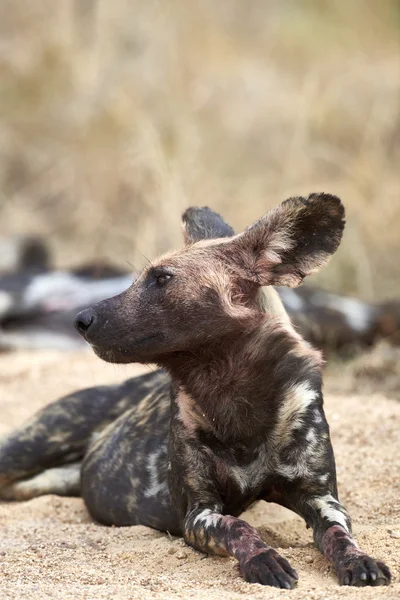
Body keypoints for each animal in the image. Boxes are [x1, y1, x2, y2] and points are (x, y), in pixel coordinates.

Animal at [0, 195, 390, 588]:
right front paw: (264, 560)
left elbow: (340, 535)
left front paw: (359, 561)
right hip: (27, 450)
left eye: (161, 278)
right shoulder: (199, 512)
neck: (236, 396)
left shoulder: (321, 499)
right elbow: (239, 527)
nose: (80, 319)